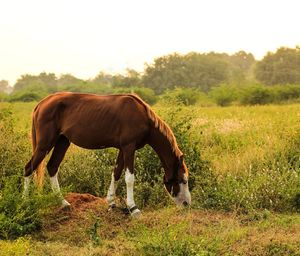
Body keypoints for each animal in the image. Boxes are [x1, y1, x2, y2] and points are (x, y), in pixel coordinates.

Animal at [24, 92, 192, 216]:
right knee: (29, 168)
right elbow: (129, 178)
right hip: (44, 145)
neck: (143, 117)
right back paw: (25, 202)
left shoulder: (123, 149)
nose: (186, 204)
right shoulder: (129, 147)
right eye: (182, 180)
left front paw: (111, 202)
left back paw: (64, 204)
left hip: (62, 142)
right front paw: (133, 208)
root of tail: (41, 103)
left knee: (52, 167)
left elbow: (116, 173)